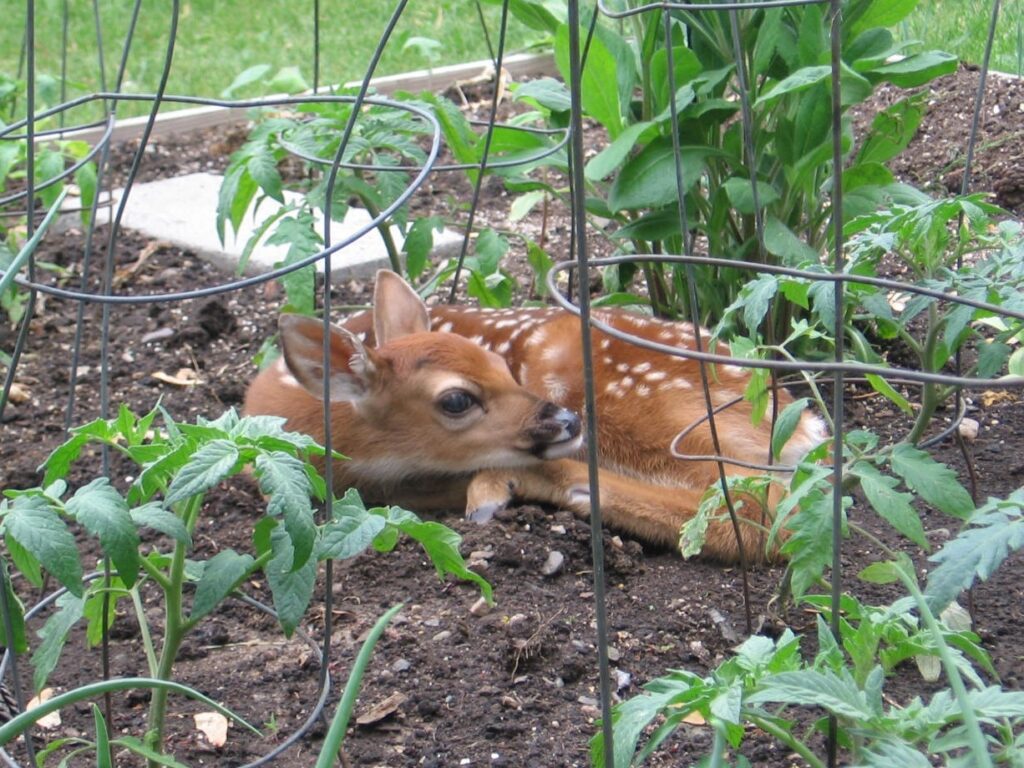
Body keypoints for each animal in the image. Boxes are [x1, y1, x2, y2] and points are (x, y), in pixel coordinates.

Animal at [241, 274, 823, 561]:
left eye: (503, 365)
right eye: (456, 400)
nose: (566, 421)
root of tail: (800, 418)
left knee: (756, 509)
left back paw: (521, 483)